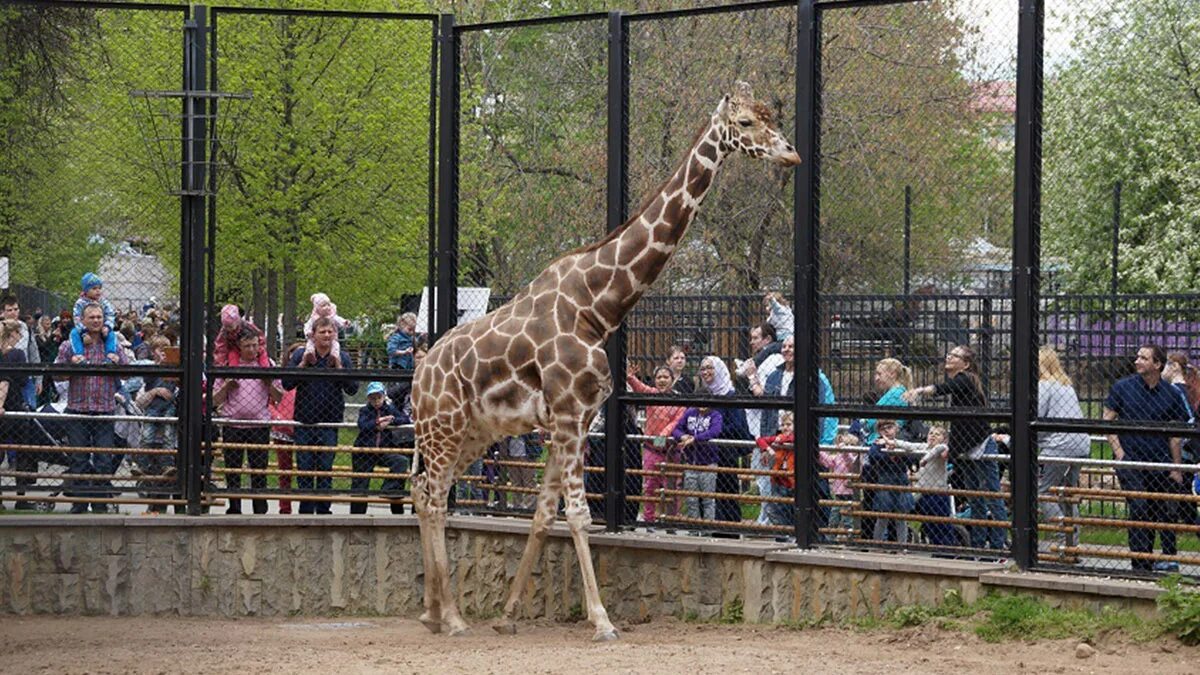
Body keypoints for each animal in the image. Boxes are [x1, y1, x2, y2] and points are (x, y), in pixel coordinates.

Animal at [410, 81, 796, 638]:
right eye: (745, 123)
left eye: (772, 117)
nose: (790, 153)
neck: (600, 305)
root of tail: (418, 376)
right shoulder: (570, 415)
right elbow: (577, 515)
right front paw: (602, 620)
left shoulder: (575, 417)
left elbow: (544, 514)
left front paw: (508, 615)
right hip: (443, 429)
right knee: (435, 495)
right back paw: (454, 618)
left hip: (472, 433)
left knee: (422, 490)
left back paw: (433, 611)